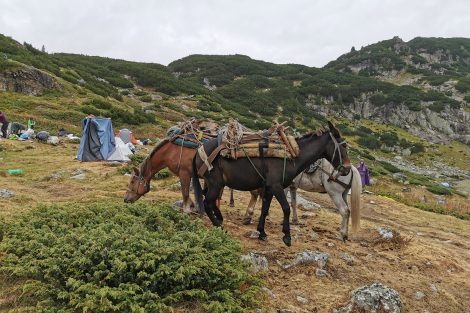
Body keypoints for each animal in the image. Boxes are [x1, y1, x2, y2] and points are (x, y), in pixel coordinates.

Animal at [193, 120, 350, 245]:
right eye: (343, 146)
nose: (347, 169)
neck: (292, 154)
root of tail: (199, 151)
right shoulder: (276, 187)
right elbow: (286, 208)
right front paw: (287, 237)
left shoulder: (268, 188)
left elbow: (265, 209)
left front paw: (262, 233)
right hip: (215, 184)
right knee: (207, 203)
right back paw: (219, 226)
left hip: (214, 184)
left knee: (209, 200)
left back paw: (219, 219)